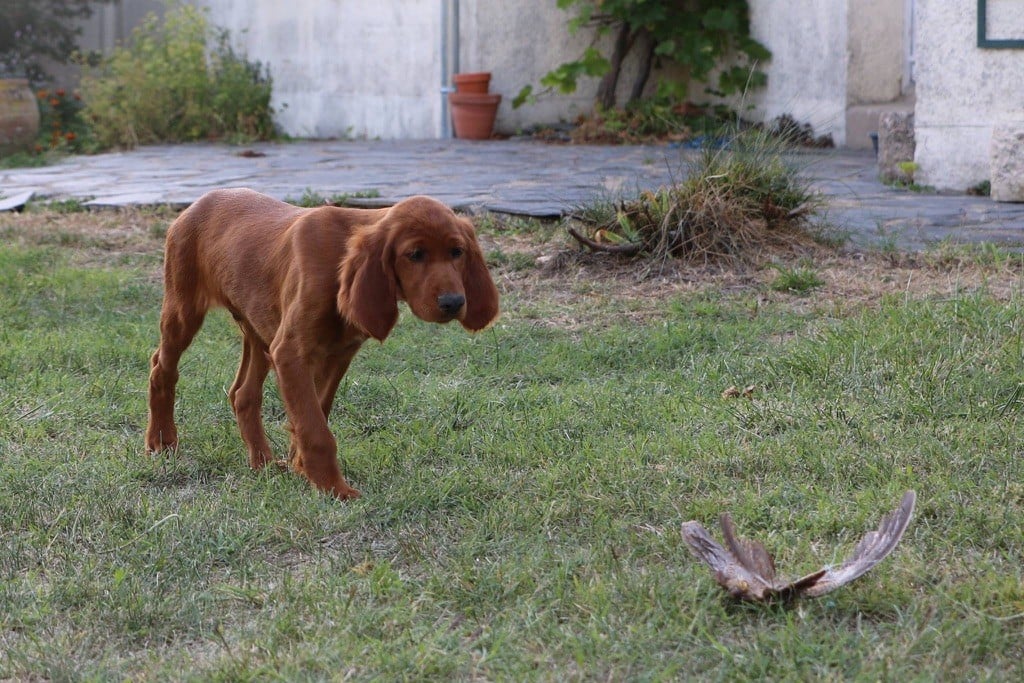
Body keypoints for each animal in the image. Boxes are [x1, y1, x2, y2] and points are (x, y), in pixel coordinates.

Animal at [146, 189, 501, 499]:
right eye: (414, 255)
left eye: (457, 252)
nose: (454, 302)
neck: (339, 262)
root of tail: (197, 203)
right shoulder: (291, 353)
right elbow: (314, 428)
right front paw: (333, 488)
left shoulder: (339, 354)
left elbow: (317, 411)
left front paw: (302, 467)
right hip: (184, 310)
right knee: (162, 369)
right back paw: (162, 442)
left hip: (258, 329)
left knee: (243, 394)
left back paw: (263, 463)